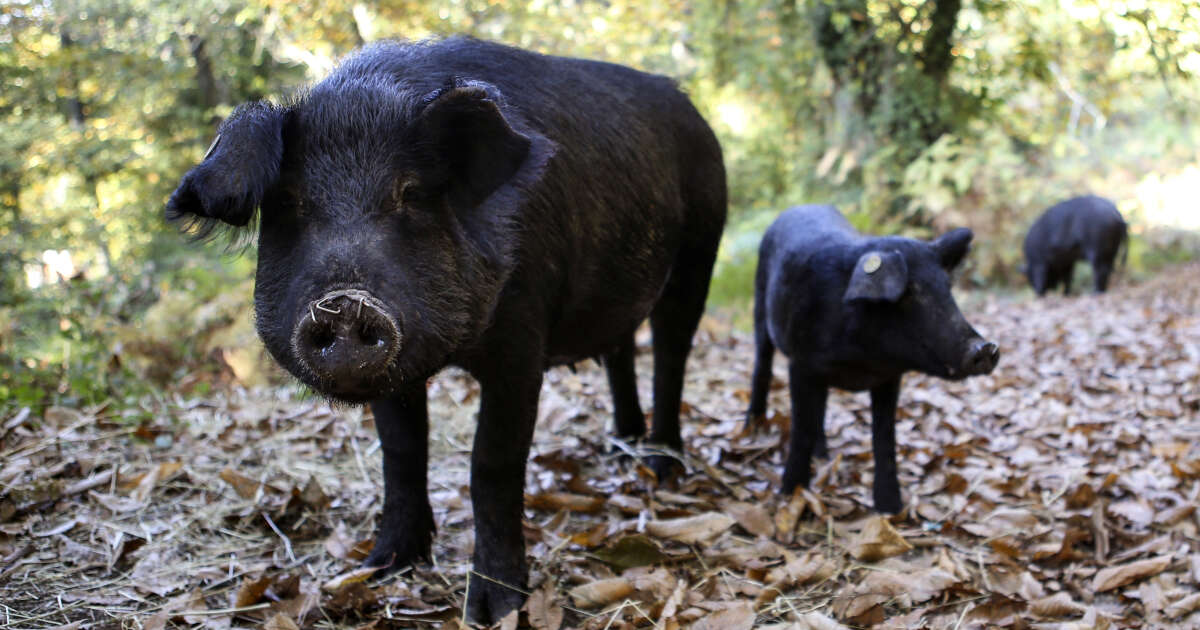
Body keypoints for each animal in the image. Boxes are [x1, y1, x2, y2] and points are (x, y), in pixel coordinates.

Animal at [165, 36, 724, 619]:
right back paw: (620, 446)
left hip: (701, 245)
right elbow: (402, 452)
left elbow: (493, 465)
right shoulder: (394, 377)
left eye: (410, 193)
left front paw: (493, 610)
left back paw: (662, 467)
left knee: (671, 354)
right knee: (621, 350)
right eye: (290, 201)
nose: (344, 305)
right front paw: (382, 567)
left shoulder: (522, 339)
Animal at [744, 205, 998, 511]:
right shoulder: (801, 363)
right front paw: (790, 493)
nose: (986, 347)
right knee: (762, 368)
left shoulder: (889, 378)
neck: (865, 358)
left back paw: (823, 456)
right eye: (909, 293)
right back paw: (751, 430)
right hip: (760, 304)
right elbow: (801, 427)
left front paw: (891, 508)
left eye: (947, 289)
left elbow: (884, 437)